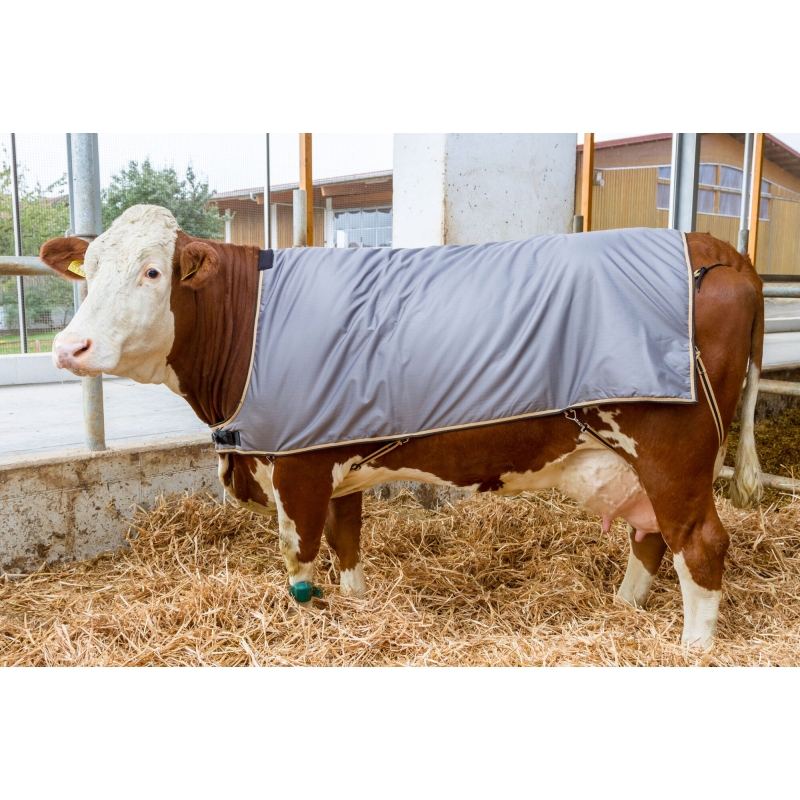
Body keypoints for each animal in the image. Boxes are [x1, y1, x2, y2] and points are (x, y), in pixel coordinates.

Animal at [40, 204, 764, 649]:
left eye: (152, 271)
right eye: (90, 270)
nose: (69, 347)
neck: (254, 323)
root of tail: (716, 246)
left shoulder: (296, 468)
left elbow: (302, 563)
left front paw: (307, 623)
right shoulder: (332, 452)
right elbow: (348, 546)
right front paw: (357, 608)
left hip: (673, 450)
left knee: (700, 542)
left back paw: (693, 646)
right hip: (635, 458)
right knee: (652, 535)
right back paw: (624, 607)